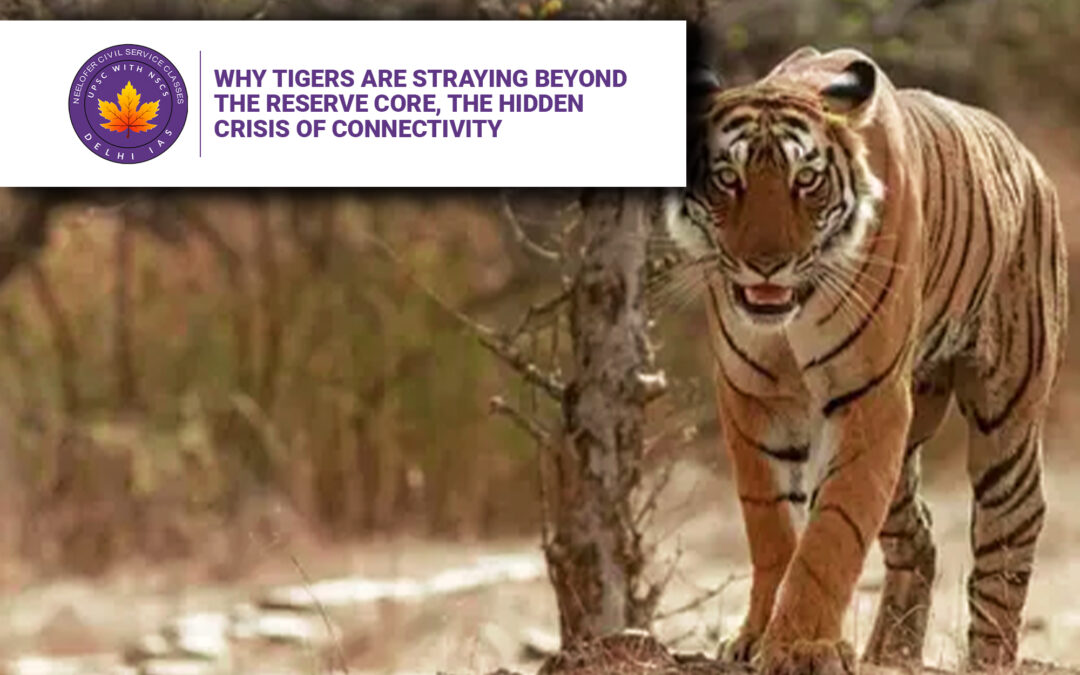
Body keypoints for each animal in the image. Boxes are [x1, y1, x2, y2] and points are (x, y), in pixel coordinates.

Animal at [664, 46, 1067, 673]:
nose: (765, 265)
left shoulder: (869, 398)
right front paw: (756, 636)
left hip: (1007, 413)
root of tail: (1028, 159)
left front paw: (801, 646)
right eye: (728, 178)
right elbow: (772, 524)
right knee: (918, 533)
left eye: (805, 180)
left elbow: (834, 531)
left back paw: (988, 657)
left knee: (1012, 527)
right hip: (909, 445)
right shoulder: (753, 395)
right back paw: (892, 651)